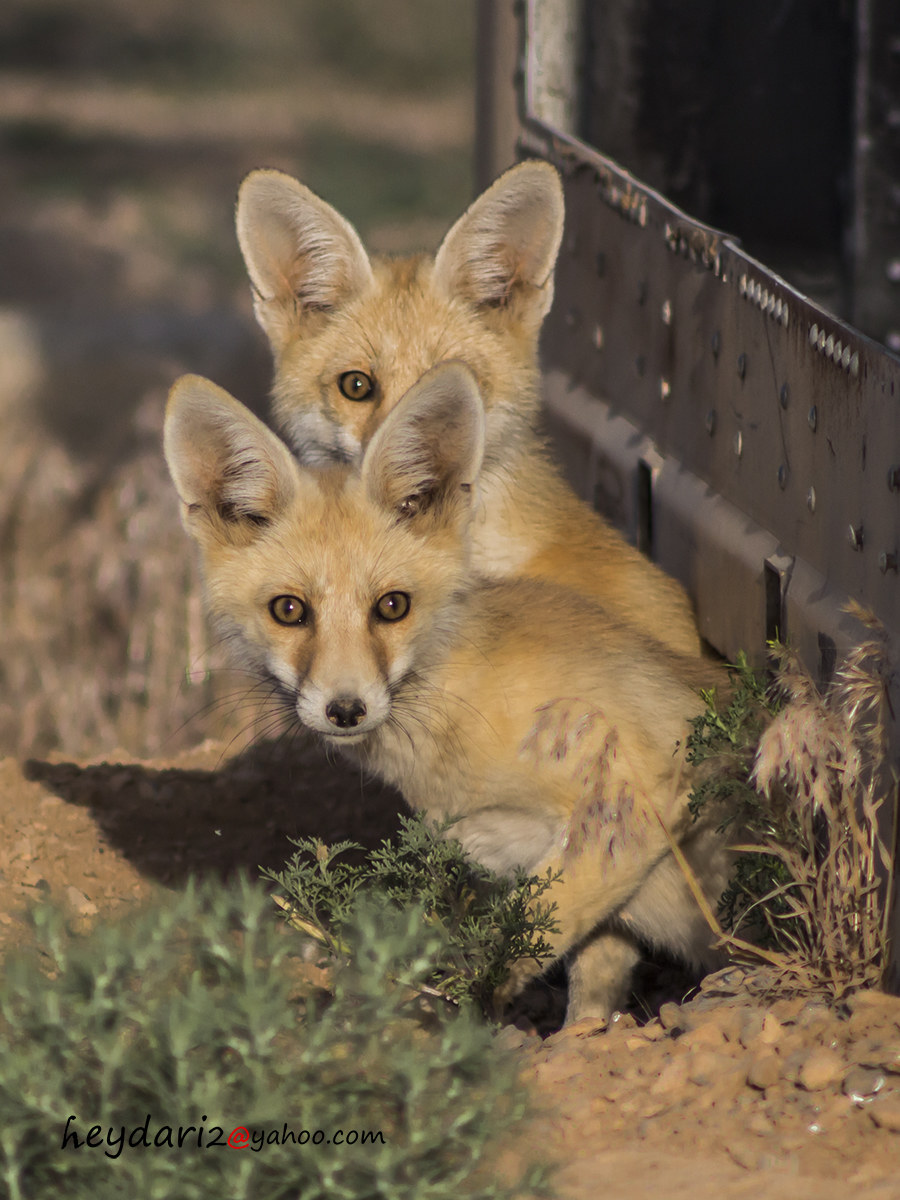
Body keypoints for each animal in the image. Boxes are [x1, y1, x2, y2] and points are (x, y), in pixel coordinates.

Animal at [164, 361, 732, 1022]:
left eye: (392, 606)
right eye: (289, 610)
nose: (346, 710)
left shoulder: (635, 789)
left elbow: (527, 938)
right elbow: (593, 977)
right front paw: (584, 1037)